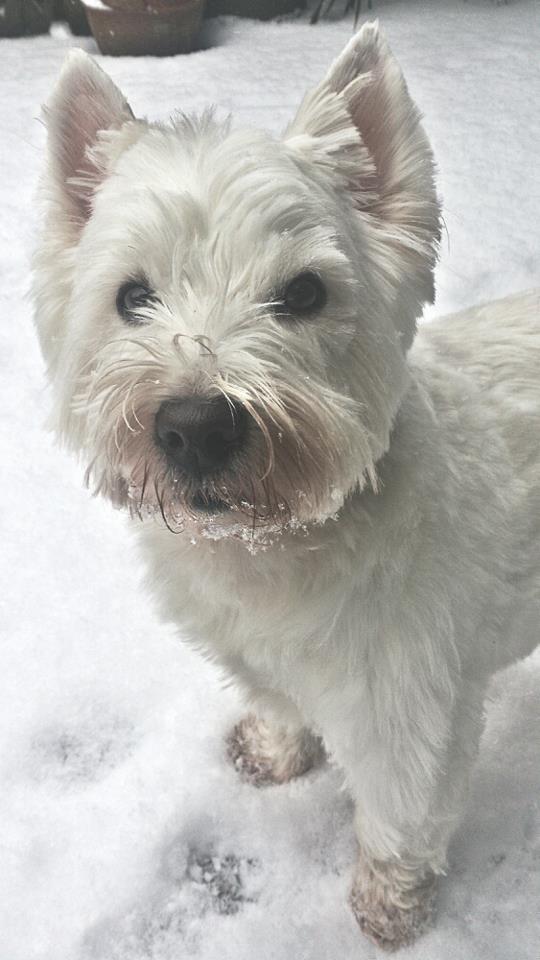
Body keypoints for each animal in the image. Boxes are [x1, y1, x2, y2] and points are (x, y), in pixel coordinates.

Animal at [34, 24, 540, 952]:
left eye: (305, 291)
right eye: (132, 295)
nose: (195, 425)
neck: (273, 550)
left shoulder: (409, 709)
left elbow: (399, 819)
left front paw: (388, 909)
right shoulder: (249, 651)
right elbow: (277, 703)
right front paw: (273, 752)